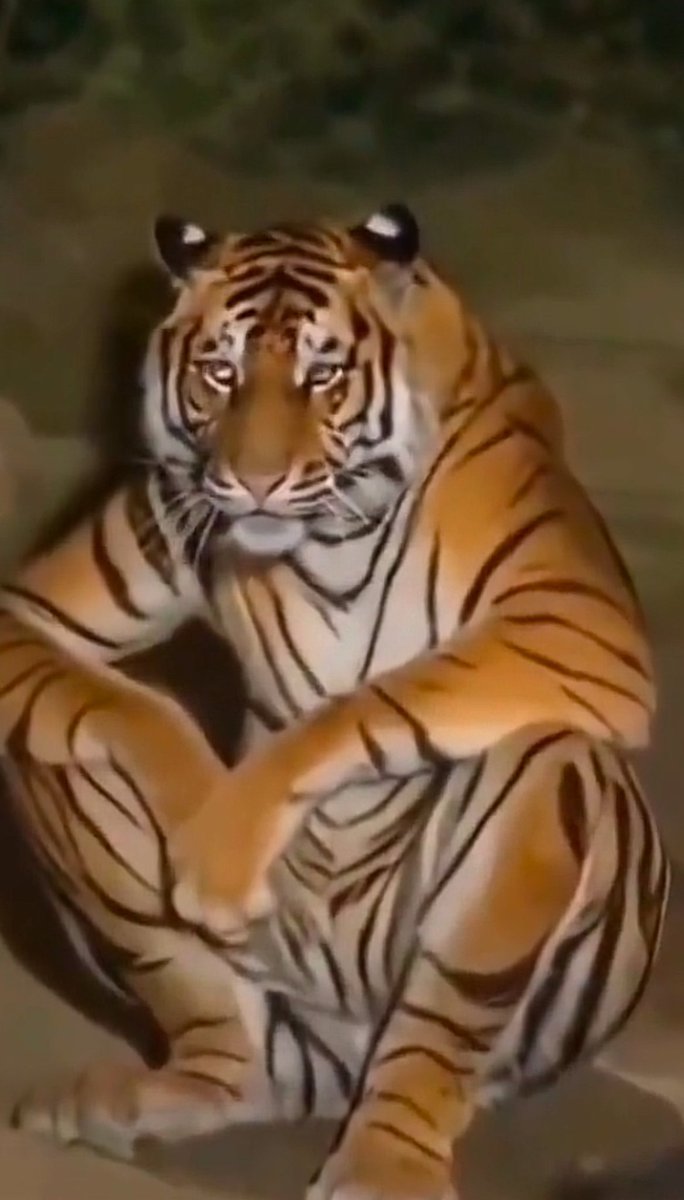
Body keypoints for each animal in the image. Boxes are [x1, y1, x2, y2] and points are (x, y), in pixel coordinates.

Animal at [0, 202, 669, 1198]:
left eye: (324, 376)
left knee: (439, 1019)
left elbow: (379, 699)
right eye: (221, 371)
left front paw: (220, 841)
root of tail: (333, 1065)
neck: (325, 542)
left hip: (507, 911)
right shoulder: (52, 597)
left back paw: (385, 1162)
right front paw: (197, 817)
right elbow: (142, 709)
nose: (254, 480)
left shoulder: (578, 621)